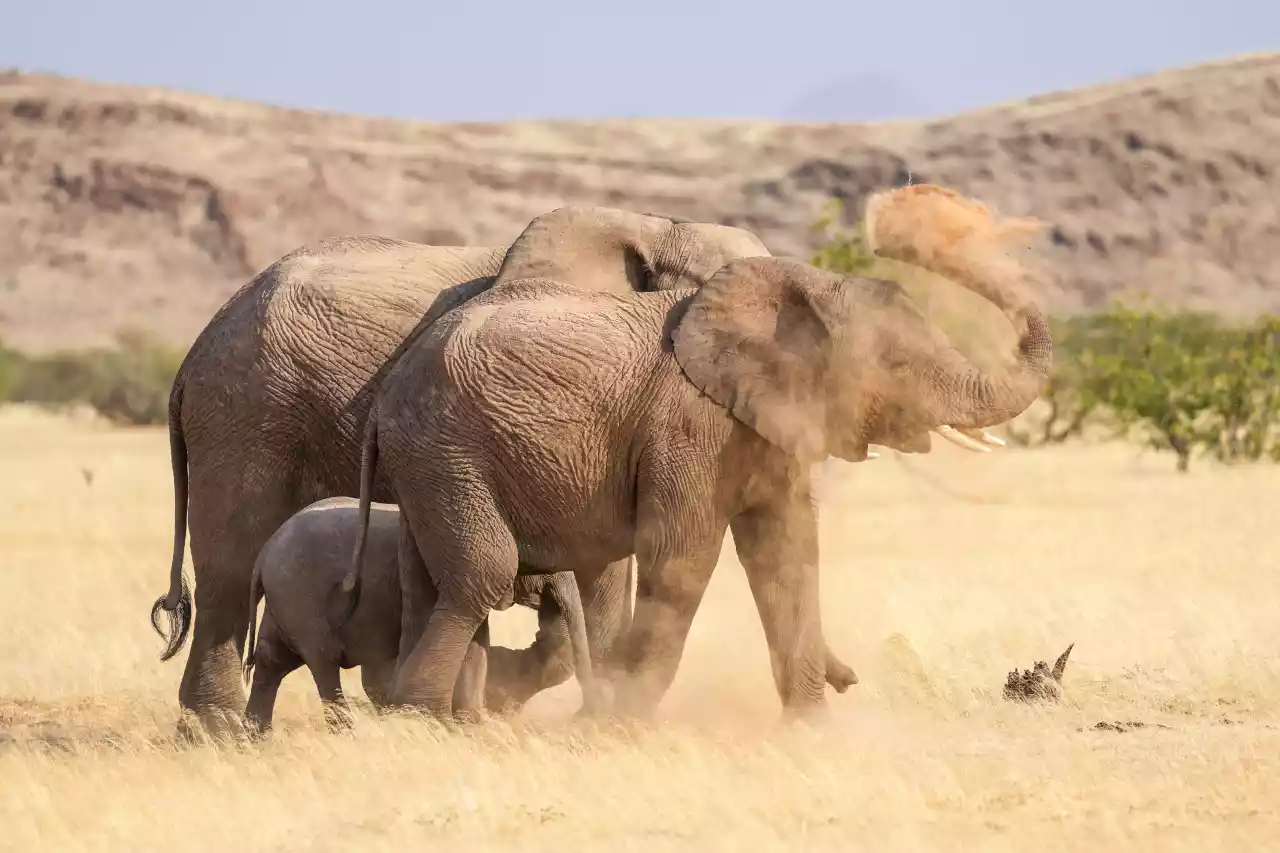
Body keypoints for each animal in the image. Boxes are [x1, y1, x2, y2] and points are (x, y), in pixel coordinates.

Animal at [242, 497, 596, 735]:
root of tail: (263, 554)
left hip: (284, 602)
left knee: (272, 661)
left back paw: (255, 740)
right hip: (301, 598)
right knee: (323, 662)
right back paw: (347, 735)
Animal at [338, 184, 1053, 722]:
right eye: (899, 365)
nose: (905, 213)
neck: (794, 292)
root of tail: (387, 393)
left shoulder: (763, 422)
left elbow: (786, 551)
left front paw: (811, 734)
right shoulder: (685, 424)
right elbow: (683, 557)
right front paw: (621, 730)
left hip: (429, 458)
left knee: (427, 577)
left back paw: (426, 713)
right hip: (443, 449)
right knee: (481, 574)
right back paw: (428, 718)